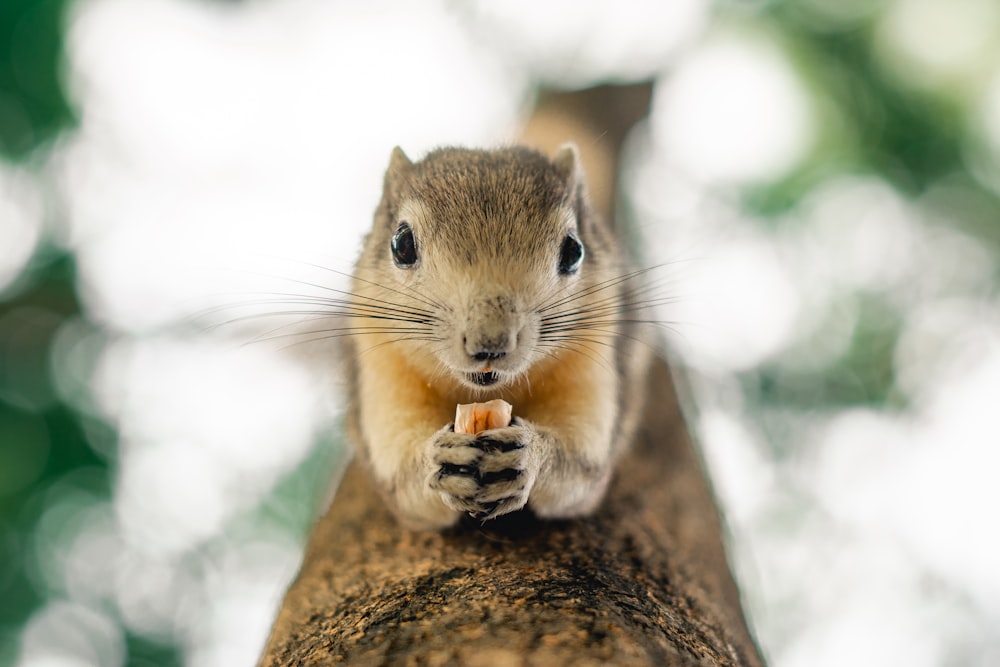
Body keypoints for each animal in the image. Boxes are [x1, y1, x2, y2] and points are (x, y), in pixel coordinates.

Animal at [342, 138, 656, 528]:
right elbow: (406, 486)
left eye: (574, 250)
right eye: (401, 244)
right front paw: (436, 458)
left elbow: (578, 472)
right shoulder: (381, 367)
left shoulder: (596, 359)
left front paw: (530, 454)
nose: (490, 344)